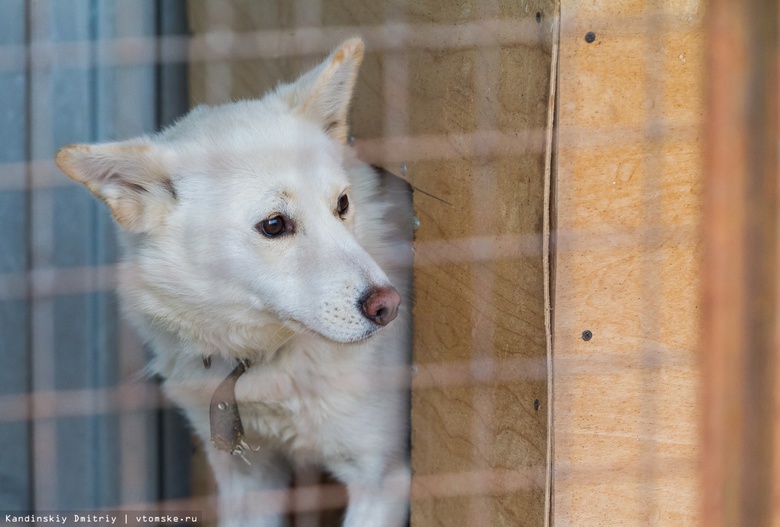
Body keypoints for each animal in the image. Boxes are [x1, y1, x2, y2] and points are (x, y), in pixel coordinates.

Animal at [55, 38, 414, 527]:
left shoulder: (382, 478)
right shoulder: (248, 480)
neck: (258, 358)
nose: (388, 305)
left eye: (342, 204)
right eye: (275, 225)